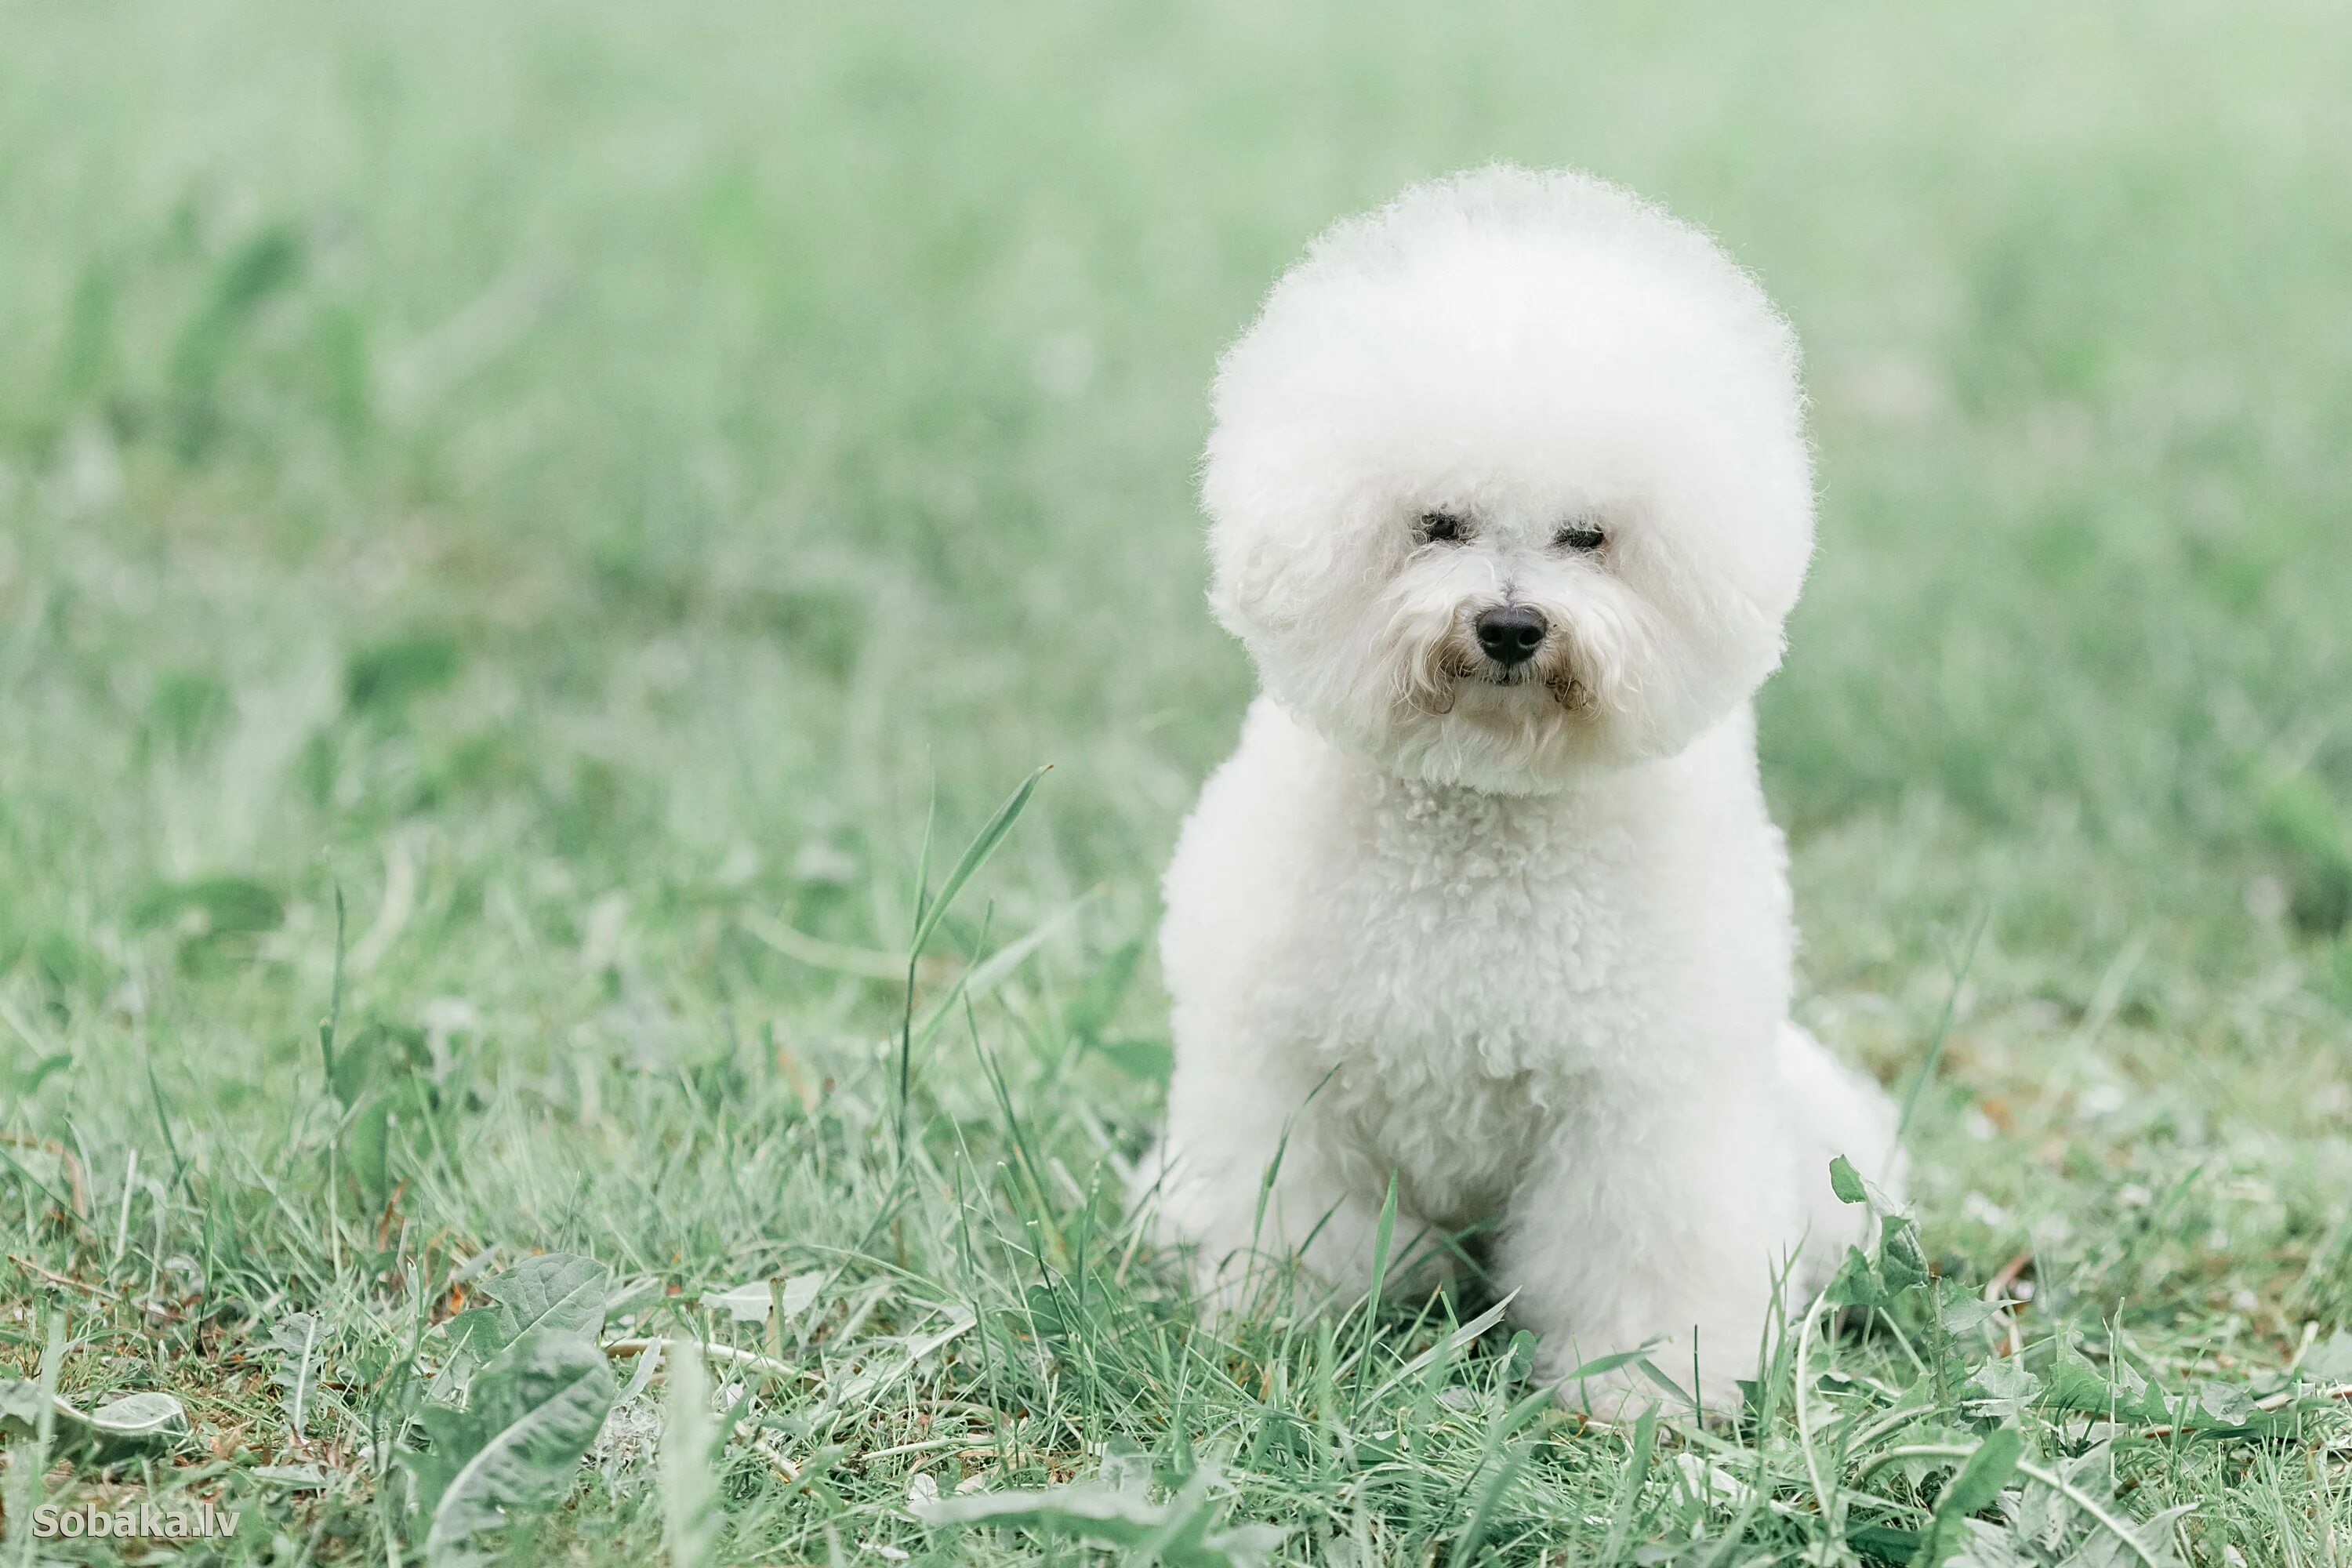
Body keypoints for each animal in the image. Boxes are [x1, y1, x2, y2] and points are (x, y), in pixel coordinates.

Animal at [1148, 169, 1900, 1410]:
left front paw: (1651, 1388)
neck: (1483, 813)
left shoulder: (1640, 1114)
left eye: (1589, 537)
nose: (1508, 625)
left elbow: (1643, 1252)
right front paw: (1279, 1333)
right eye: (1438, 523)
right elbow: (1291, 1223)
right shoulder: (1288, 1086)